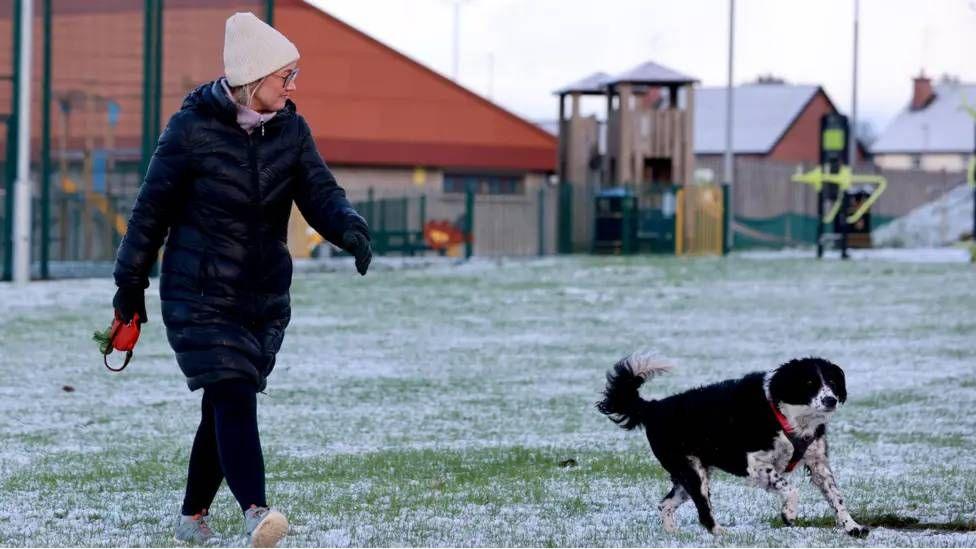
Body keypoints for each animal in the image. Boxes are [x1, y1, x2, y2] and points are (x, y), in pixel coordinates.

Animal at [596, 354, 868, 536]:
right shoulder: (754, 464)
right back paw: (721, 534)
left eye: (832, 382)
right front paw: (789, 513)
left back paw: (673, 533)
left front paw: (852, 527)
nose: (831, 400)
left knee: (665, 504)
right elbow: (790, 489)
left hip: (689, 475)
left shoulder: (818, 463)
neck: (789, 416)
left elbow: (836, 498)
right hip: (693, 473)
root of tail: (653, 407)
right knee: (704, 513)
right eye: (809, 383)